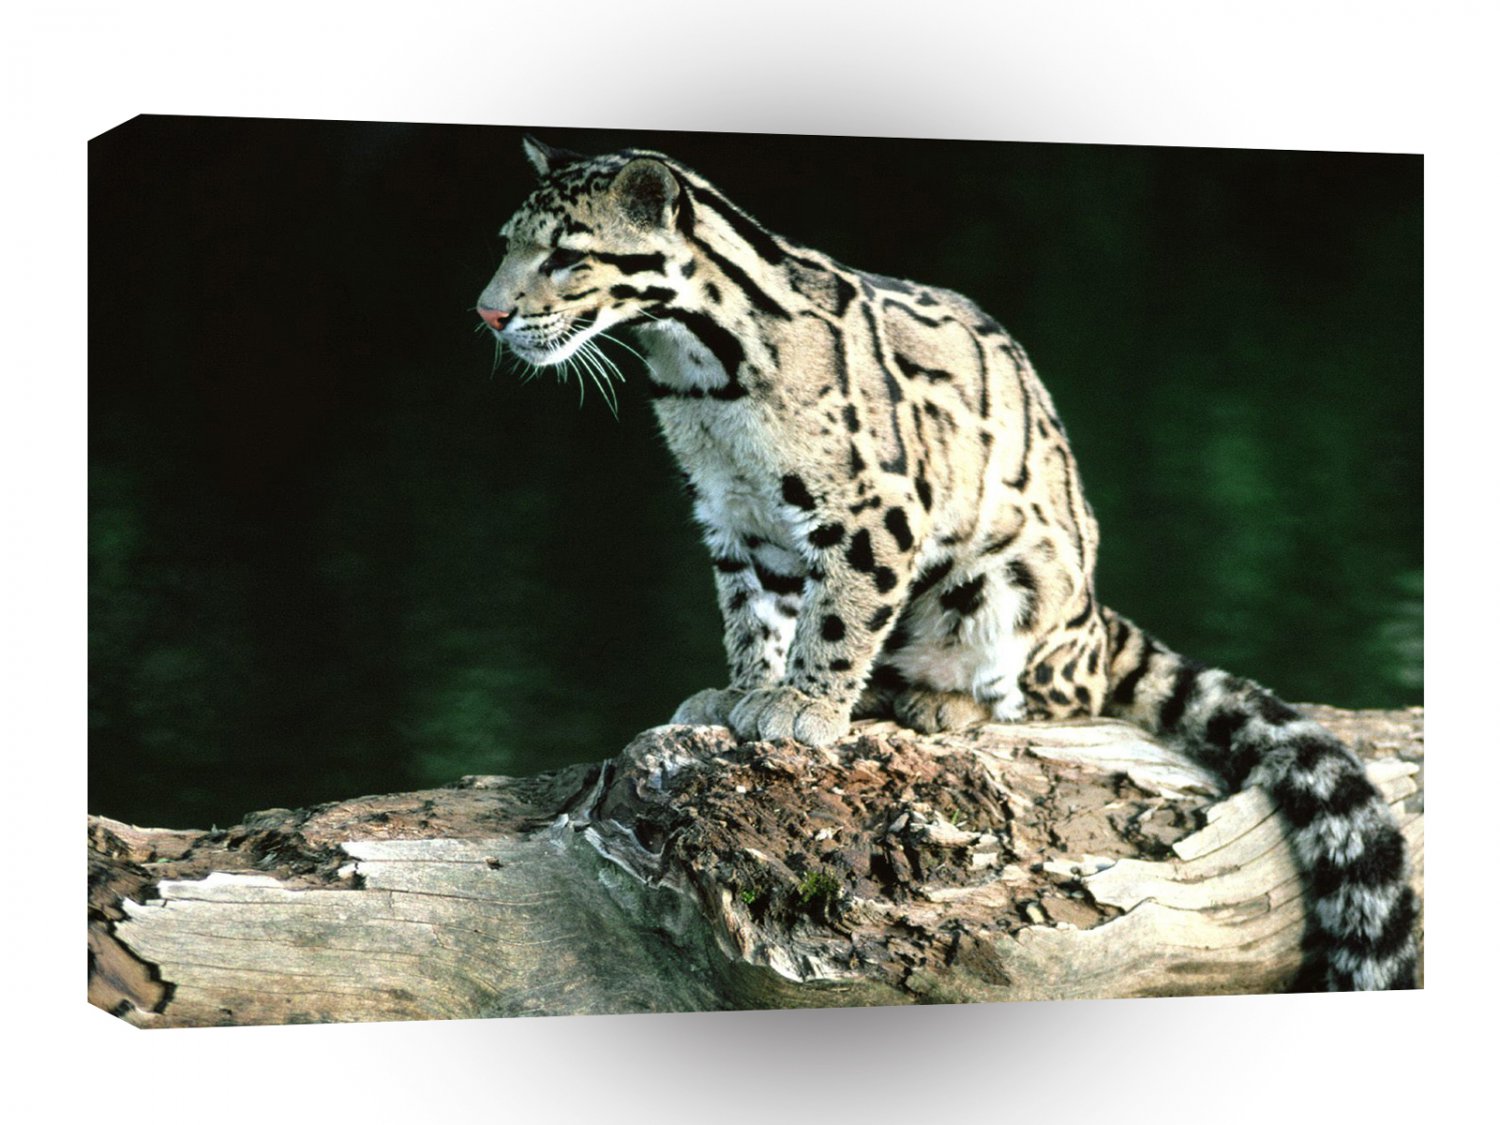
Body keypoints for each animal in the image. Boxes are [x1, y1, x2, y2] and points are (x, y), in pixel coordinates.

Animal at [475, 135, 1417, 991]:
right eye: (506, 242)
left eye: (566, 256)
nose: (488, 314)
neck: (701, 371)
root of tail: (1099, 620)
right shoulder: (735, 517)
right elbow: (754, 613)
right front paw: (742, 688)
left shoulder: (878, 507)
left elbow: (836, 617)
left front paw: (802, 706)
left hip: (1004, 586)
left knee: (1045, 695)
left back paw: (938, 701)